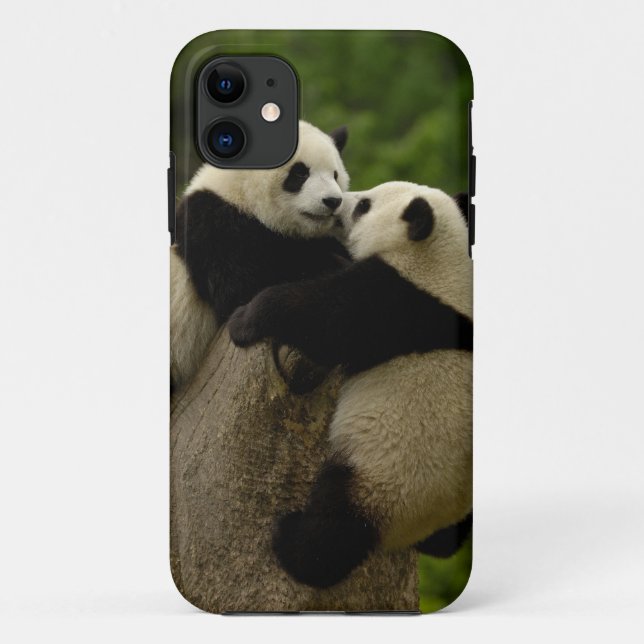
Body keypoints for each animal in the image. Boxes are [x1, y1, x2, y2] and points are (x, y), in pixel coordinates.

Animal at [170, 121, 350, 391]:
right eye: (300, 173)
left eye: (335, 175)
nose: (333, 201)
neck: (240, 195)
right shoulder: (214, 226)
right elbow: (244, 288)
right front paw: (329, 264)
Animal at [227, 181, 473, 588]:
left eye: (364, 206)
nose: (337, 202)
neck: (438, 260)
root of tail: (413, 531)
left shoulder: (395, 301)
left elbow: (322, 319)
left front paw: (245, 319)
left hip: (379, 479)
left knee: (333, 529)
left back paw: (292, 542)